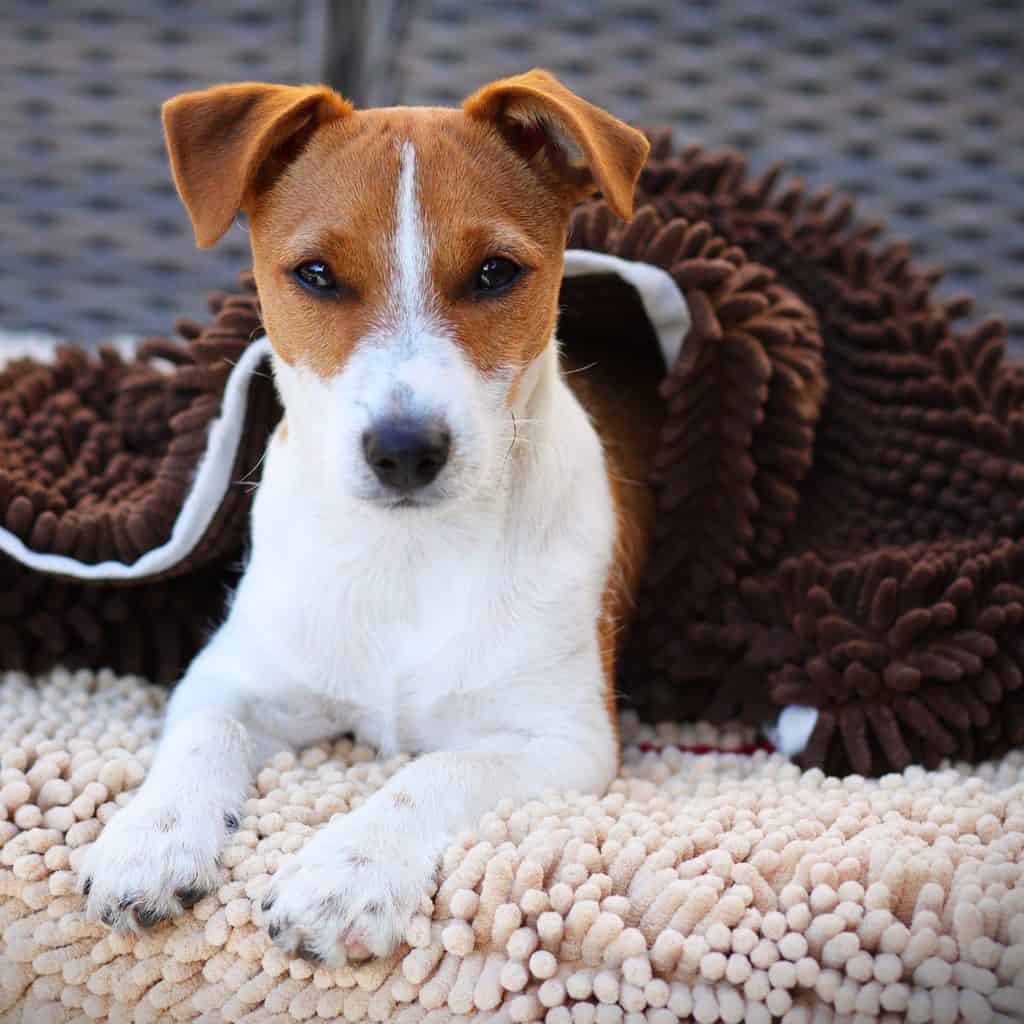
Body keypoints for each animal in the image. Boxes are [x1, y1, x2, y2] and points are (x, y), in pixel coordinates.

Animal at [79, 68, 655, 962]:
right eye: (316, 274)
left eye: (495, 273)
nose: (406, 450)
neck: (407, 554)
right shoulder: (229, 676)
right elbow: (203, 737)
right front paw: (152, 837)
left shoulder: (565, 739)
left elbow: (433, 771)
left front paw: (348, 871)